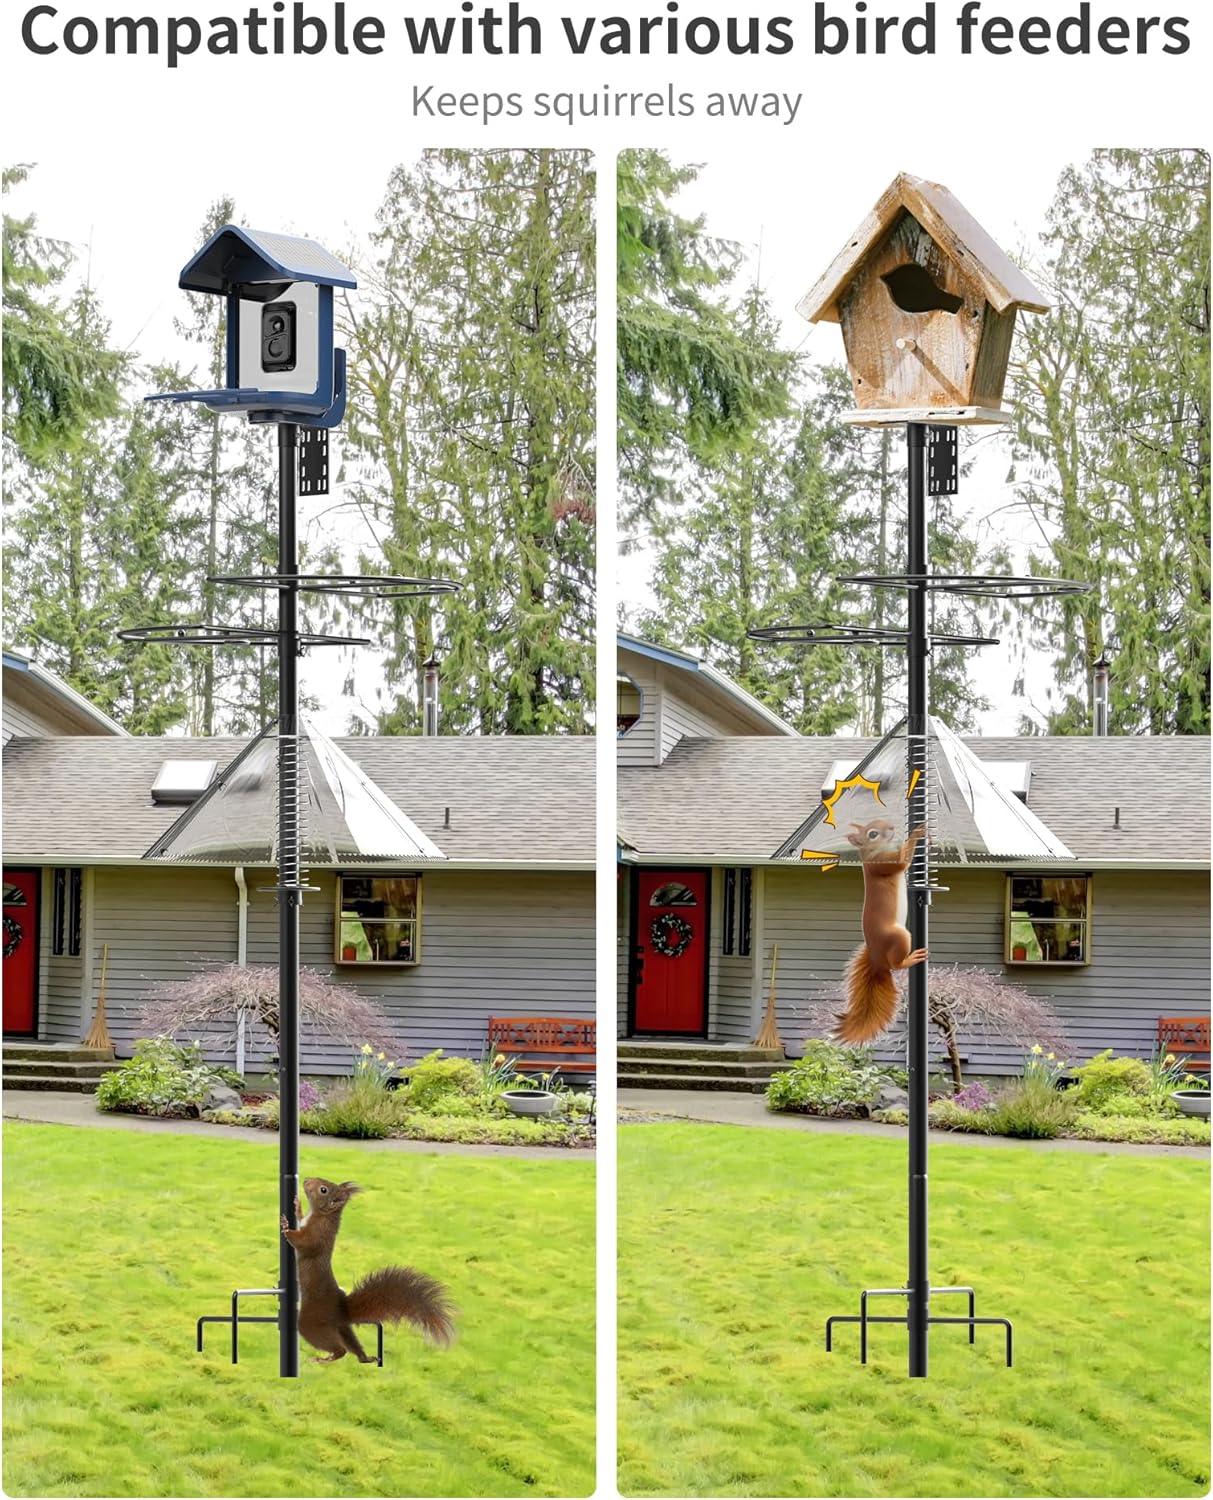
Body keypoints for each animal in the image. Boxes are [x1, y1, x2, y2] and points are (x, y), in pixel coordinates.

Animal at [280, 1176, 456, 1364]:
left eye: (323, 1190)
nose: (306, 1180)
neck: (322, 1215)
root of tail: (342, 1310)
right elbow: (300, 1219)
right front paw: (297, 1205)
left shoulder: (318, 1235)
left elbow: (304, 1244)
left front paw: (286, 1227)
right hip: (343, 1329)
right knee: (353, 1346)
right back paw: (365, 1358)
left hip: (312, 1323)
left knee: (340, 1349)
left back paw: (323, 1359)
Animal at [835, 819, 928, 1044]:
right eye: (873, 834)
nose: (892, 827)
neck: (871, 852)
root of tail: (877, 960)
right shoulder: (881, 863)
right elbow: (902, 862)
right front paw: (916, 832)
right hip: (900, 937)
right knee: (896, 965)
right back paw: (911, 959)